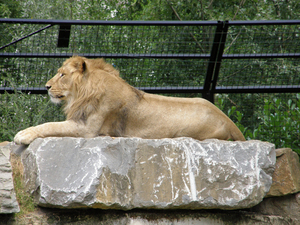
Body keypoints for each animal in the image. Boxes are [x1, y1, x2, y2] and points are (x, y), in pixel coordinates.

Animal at [12, 55, 245, 145]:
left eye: (62, 74)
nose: (46, 86)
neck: (83, 93)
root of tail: (228, 120)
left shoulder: (87, 129)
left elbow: (50, 125)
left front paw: (23, 134)